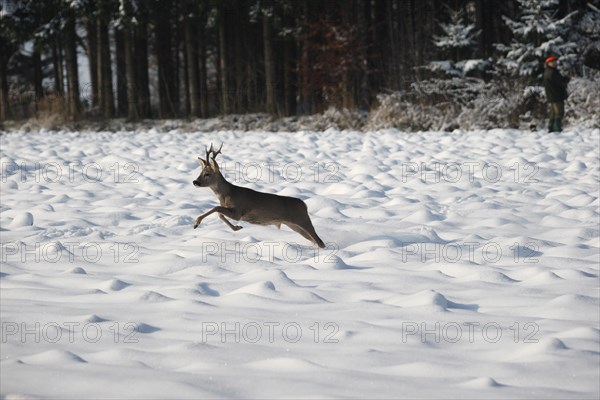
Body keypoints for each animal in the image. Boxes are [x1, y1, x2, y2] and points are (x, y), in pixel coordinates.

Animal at [192, 144, 326, 248]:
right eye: (200, 172)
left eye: (207, 174)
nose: (195, 182)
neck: (227, 195)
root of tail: (304, 204)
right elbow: (220, 213)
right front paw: (237, 228)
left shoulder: (238, 212)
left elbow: (216, 208)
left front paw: (196, 222)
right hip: (294, 225)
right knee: (315, 240)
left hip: (302, 219)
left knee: (319, 240)